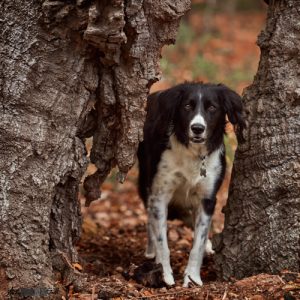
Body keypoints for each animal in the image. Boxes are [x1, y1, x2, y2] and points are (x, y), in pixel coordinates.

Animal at [137, 81, 245, 286]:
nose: (197, 128)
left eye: (212, 107)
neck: (193, 153)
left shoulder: (207, 199)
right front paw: (165, 274)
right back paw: (151, 251)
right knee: (151, 221)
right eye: (187, 106)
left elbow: (198, 243)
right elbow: (162, 240)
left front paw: (192, 278)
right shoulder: (160, 194)